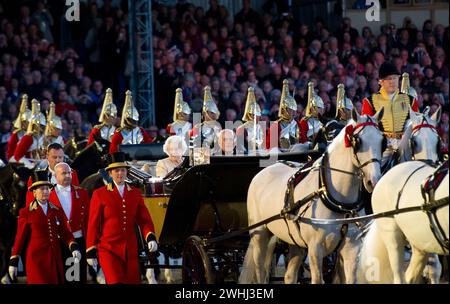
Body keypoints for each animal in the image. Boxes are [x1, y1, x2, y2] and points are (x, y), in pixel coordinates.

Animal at [241, 108, 384, 284]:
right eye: (358, 141)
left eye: (382, 141)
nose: (374, 180)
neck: (336, 199)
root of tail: (265, 170)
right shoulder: (316, 248)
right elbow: (317, 279)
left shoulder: (352, 248)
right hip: (260, 234)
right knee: (260, 271)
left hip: (295, 242)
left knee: (290, 275)